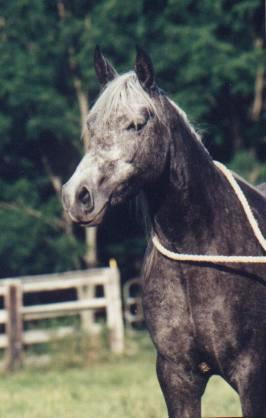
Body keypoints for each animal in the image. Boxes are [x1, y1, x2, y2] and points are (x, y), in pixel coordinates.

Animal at [62, 47, 266, 416]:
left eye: (137, 123)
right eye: (91, 124)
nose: (77, 196)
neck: (200, 252)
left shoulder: (252, 374)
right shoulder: (177, 377)